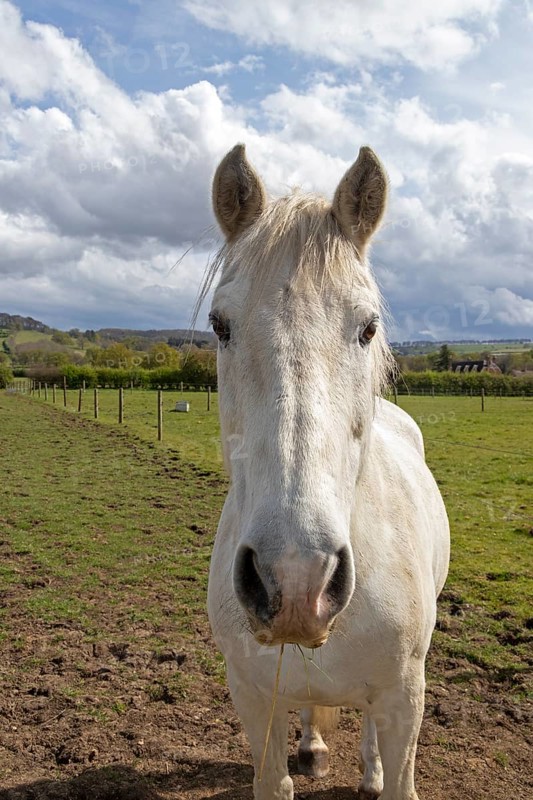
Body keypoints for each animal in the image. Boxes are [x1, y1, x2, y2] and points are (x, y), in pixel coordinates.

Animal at [205, 143, 450, 800]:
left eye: (367, 327)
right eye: (220, 325)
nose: (297, 579)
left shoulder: (404, 698)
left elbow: (399, 777)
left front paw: (378, 773)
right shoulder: (253, 698)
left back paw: (368, 769)